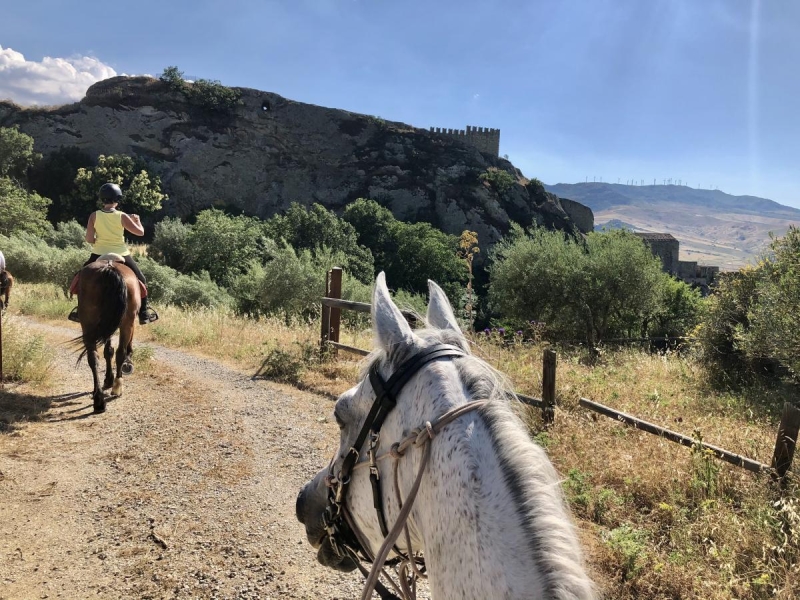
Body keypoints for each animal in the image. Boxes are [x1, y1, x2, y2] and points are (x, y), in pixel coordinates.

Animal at [72, 253, 141, 412]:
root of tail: (109, 266)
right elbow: (113, 351)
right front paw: (112, 378)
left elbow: (108, 351)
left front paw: (108, 379)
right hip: (127, 321)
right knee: (120, 352)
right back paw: (117, 387)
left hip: (88, 322)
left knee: (93, 357)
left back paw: (98, 399)